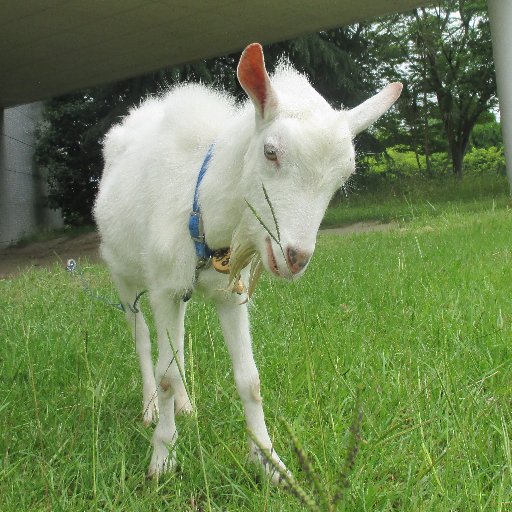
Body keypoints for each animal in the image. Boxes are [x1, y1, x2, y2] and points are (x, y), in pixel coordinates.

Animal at [94, 43, 402, 480]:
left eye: (344, 177)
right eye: (270, 152)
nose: (295, 257)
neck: (203, 209)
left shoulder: (228, 290)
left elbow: (249, 379)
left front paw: (271, 464)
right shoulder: (165, 287)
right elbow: (166, 372)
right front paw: (163, 459)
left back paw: (185, 405)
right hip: (124, 275)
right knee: (140, 338)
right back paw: (152, 407)